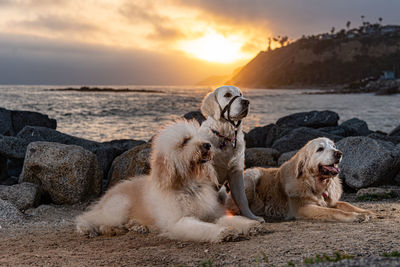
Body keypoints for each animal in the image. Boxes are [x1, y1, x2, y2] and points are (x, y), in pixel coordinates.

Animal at [76, 121, 260, 243]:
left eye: (199, 138)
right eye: (185, 141)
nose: (207, 146)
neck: (189, 187)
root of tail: (109, 193)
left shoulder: (212, 213)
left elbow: (231, 219)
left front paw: (250, 225)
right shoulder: (179, 222)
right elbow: (203, 228)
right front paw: (223, 232)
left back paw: (137, 226)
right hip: (118, 207)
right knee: (90, 217)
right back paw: (89, 229)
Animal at [199, 86, 262, 222]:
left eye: (240, 94)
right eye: (227, 95)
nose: (246, 102)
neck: (224, 137)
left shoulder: (236, 171)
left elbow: (242, 199)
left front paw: (252, 217)